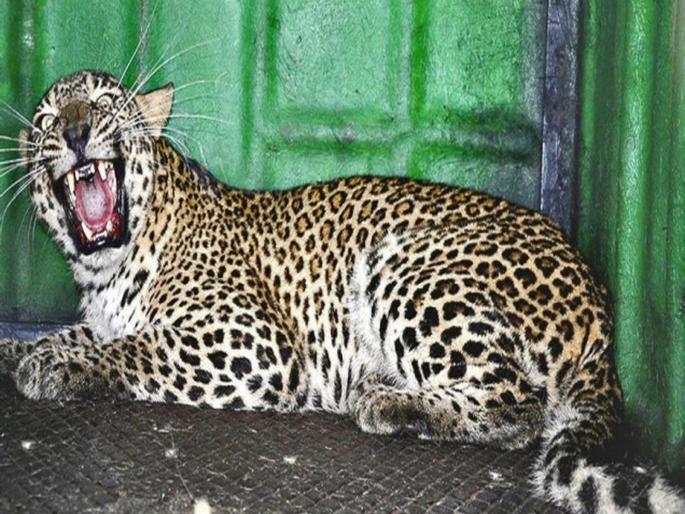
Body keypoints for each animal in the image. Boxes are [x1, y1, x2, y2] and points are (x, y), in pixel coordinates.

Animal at [0, 70, 682, 513]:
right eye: (47, 121)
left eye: (102, 102)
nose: (76, 132)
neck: (106, 268)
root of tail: (601, 310)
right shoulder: (105, 316)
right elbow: (79, 333)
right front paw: (24, 351)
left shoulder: (255, 344)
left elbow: (138, 348)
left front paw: (57, 368)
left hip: (404, 265)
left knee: (520, 407)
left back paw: (391, 404)